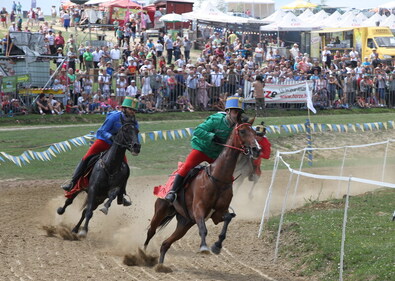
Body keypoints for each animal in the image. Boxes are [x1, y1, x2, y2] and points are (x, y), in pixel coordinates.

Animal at [144, 117, 262, 264]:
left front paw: (217, 246)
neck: (218, 178)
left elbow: (228, 218)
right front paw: (204, 247)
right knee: (151, 231)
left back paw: (160, 264)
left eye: (255, 133)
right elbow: (203, 229)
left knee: (165, 244)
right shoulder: (198, 209)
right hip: (161, 210)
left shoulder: (218, 214)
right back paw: (142, 254)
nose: (257, 149)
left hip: (185, 223)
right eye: (242, 131)